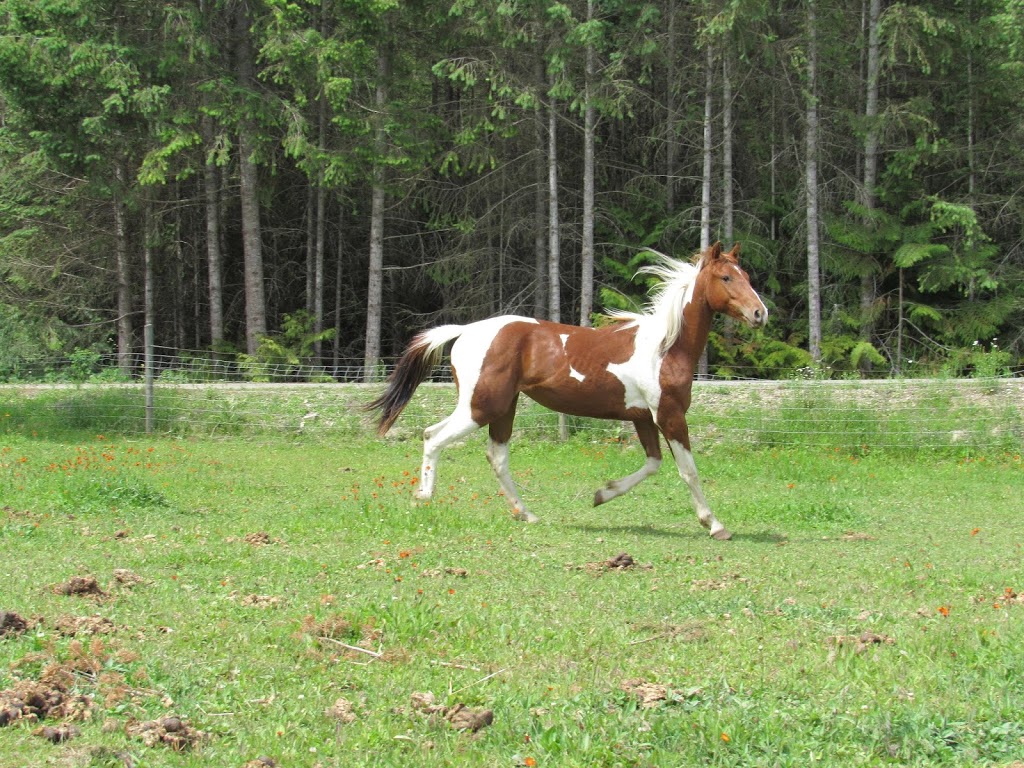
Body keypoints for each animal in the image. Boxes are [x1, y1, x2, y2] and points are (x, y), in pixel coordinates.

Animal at [370, 243, 770, 536]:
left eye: (747, 276)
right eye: (725, 277)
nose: (760, 314)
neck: (666, 346)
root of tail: (465, 331)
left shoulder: (643, 417)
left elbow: (653, 463)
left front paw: (601, 494)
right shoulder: (670, 415)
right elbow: (688, 470)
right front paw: (715, 525)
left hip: (501, 407)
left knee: (493, 455)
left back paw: (525, 514)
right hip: (481, 406)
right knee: (434, 436)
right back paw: (424, 496)